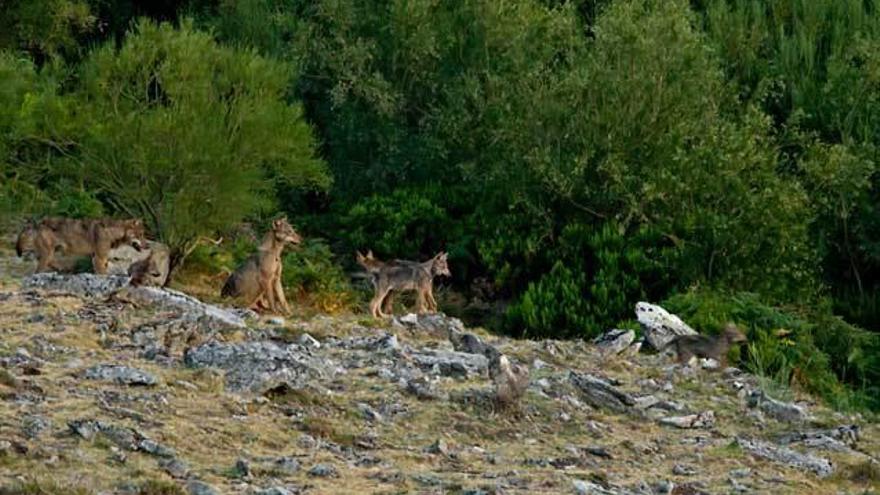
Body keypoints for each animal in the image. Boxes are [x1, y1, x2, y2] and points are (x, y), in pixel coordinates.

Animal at [17, 217, 146, 276]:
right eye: (140, 235)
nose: (147, 245)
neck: (112, 233)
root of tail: (38, 223)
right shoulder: (99, 259)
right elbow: (102, 275)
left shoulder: (99, 259)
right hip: (48, 254)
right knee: (38, 271)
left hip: (51, 253)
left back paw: (64, 269)